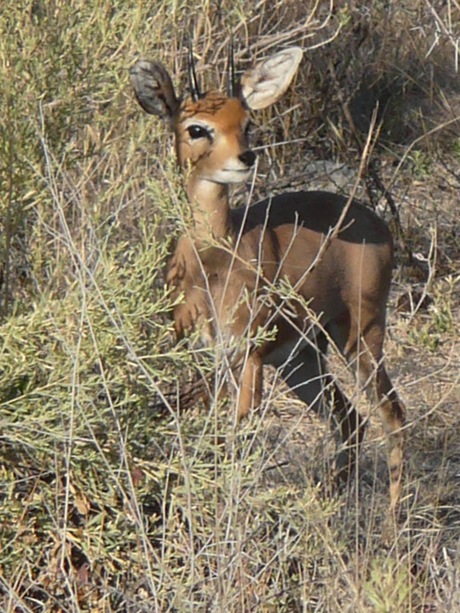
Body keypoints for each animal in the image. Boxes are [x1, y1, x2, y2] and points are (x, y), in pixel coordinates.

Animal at [130, 44, 406, 506]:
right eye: (196, 127)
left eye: (247, 124)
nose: (245, 157)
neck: (213, 259)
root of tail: (378, 223)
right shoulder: (202, 353)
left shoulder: (248, 355)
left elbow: (234, 435)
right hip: (301, 359)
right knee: (351, 419)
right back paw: (332, 498)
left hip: (360, 337)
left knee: (393, 414)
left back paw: (391, 521)